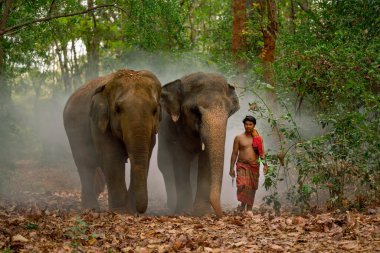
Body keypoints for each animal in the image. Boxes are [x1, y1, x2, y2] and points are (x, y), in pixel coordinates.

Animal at [63, 68, 161, 212]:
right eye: (118, 109)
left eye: (155, 110)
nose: (140, 210)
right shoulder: (99, 123)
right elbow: (112, 158)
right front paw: (120, 211)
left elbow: (146, 155)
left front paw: (129, 210)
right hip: (73, 131)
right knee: (85, 165)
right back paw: (91, 208)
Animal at [158, 71, 240, 217]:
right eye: (194, 110)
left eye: (230, 111)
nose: (221, 215)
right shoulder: (176, 128)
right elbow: (181, 159)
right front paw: (184, 211)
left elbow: (205, 159)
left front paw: (202, 211)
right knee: (165, 165)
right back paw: (172, 205)